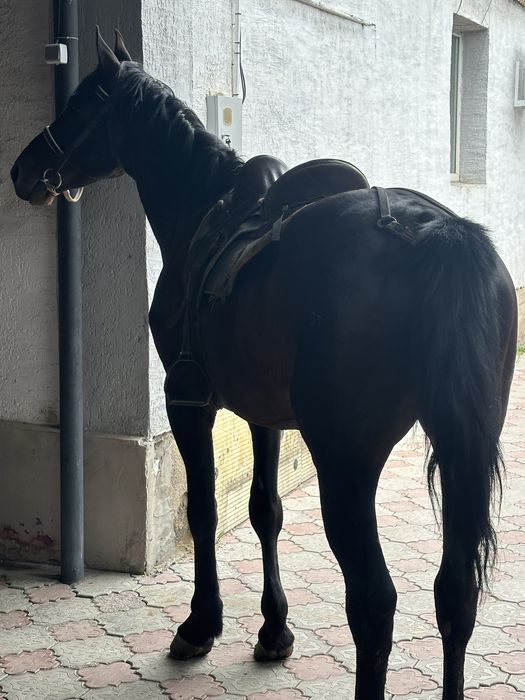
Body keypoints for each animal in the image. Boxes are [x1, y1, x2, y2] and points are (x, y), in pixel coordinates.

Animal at [11, 29, 518, 700]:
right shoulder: (264, 414)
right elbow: (264, 511)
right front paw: (274, 630)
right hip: (461, 445)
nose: (21, 170)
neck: (202, 210)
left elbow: (203, 510)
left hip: (346, 463)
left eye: (79, 104)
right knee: (455, 593)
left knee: (374, 602)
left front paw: (200, 625)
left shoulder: (189, 402)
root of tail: (435, 230)